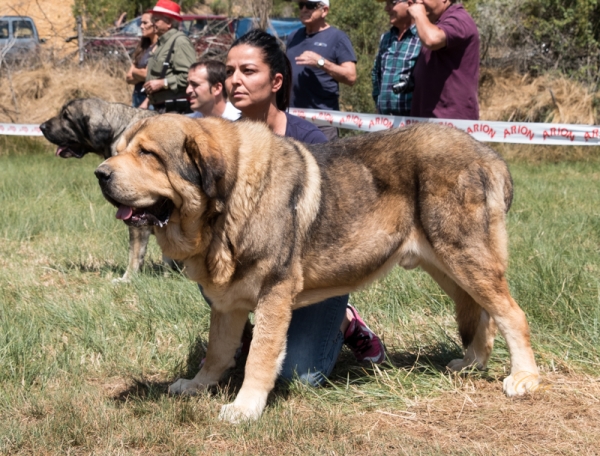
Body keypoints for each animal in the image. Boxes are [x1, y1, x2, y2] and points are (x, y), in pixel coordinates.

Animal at [95, 115, 544, 424]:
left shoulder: (274, 293)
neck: (226, 203)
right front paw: (197, 386)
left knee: (511, 313)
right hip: (447, 268)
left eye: (147, 154)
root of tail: (490, 156)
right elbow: (218, 352)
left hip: (464, 257)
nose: (100, 173)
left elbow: (260, 356)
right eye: (119, 148)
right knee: (482, 313)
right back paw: (472, 362)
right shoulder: (228, 304)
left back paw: (524, 377)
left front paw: (245, 407)